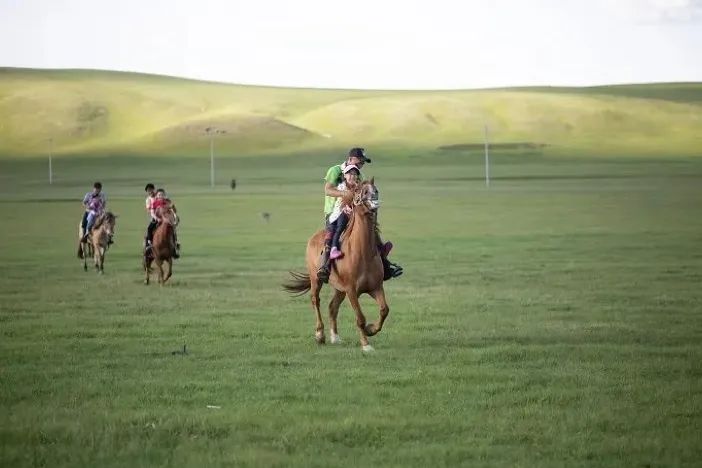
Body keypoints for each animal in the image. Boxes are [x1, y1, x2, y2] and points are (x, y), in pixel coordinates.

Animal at [284, 179, 390, 352]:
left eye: (375, 189)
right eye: (361, 191)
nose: (374, 200)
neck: (363, 253)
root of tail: (314, 237)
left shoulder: (376, 287)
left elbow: (384, 310)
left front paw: (371, 329)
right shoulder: (352, 291)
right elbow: (360, 318)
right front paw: (366, 344)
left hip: (340, 289)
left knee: (332, 307)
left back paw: (335, 337)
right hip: (316, 279)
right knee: (315, 300)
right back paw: (320, 335)